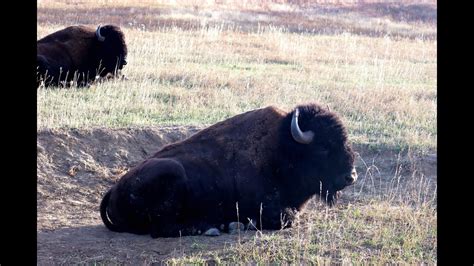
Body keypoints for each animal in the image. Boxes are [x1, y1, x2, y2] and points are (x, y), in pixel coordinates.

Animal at [101, 103, 360, 238]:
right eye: (324, 147)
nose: (351, 176)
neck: (281, 149)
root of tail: (114, 189)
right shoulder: (268, 208)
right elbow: (285, 218)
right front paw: (242, 224)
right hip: (171, 172)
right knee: (162, 229)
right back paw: (209, 228)